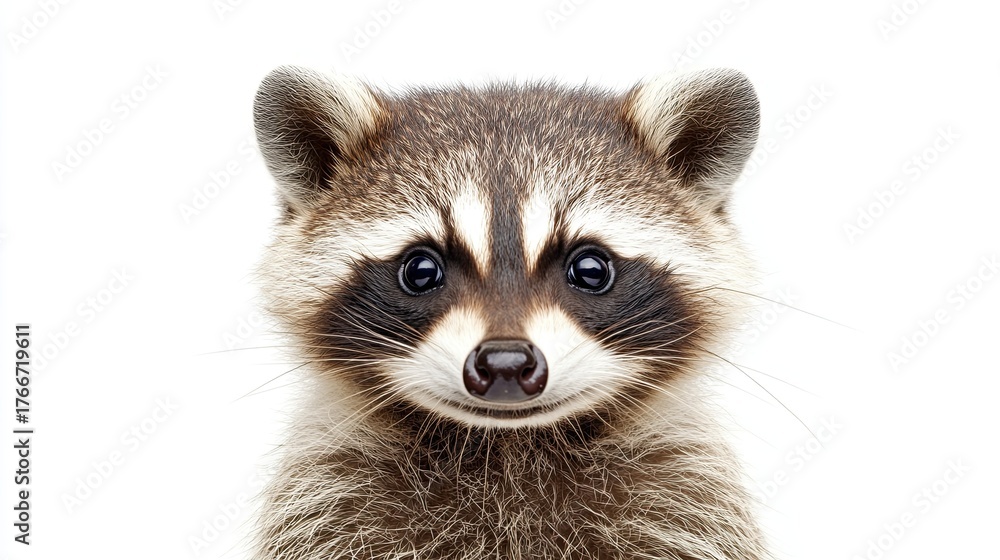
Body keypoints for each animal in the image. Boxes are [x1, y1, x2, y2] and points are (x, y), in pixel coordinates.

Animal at [251, 66, 765, 559]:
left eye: (591, 269)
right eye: (420, 270)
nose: (505, 363)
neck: (510, 446)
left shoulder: (685, 500)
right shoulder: (331, 499)